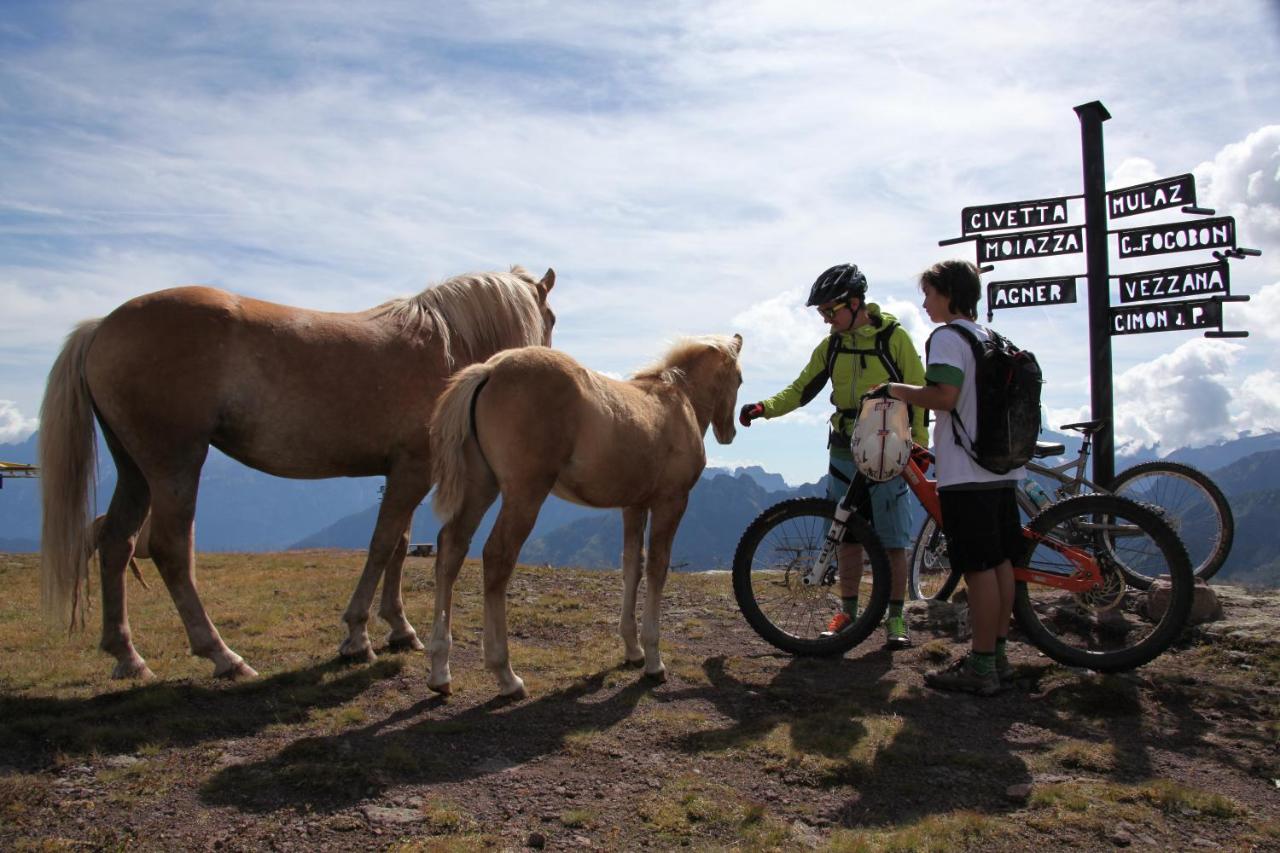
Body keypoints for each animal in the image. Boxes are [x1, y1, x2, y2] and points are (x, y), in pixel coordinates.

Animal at [43, 266, 555, 676]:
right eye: (549, 319)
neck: (443, 344)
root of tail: (101, 327)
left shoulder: (407, 470)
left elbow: (399, 544)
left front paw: (399, 628)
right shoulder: (413, 470)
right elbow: (382, 544)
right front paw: (357, 636)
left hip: (134, 469)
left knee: (116, 541)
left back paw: (127, 656)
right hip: (174, 464)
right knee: (170, 550)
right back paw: (222, 656)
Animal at [430, 335, 747, 696]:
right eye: (739, 378)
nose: (729, 432)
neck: (679, 400)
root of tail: (490, 369)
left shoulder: (634, 505)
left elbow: (632, 566)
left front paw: (633, 650)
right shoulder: (671, 501)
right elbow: (657, 569)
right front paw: (654, 660)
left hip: (481, 486)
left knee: (451, 548)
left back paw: (440, 671)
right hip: (525, 493)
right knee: (497, 557)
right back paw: (506, 676)